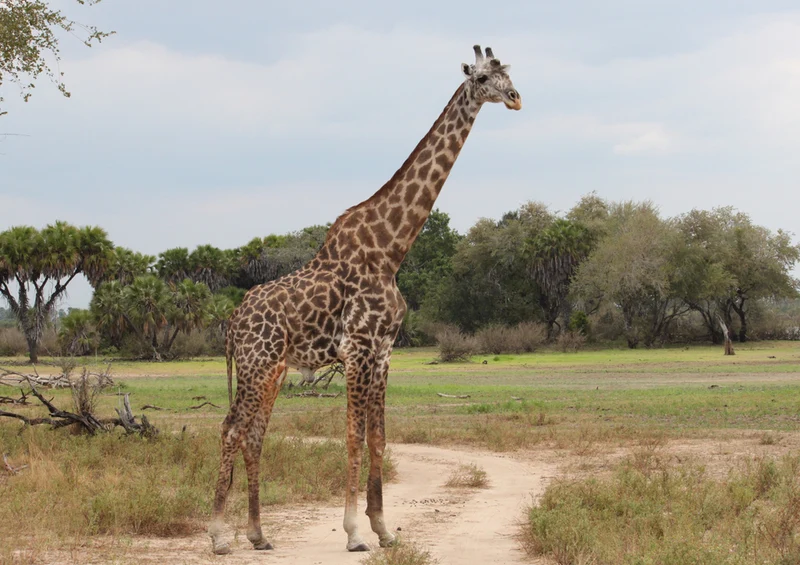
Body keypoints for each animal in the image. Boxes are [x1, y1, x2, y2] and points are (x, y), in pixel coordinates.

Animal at [208, 44, 522, 555]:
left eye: (508, 72)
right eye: (480, 77)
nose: (515, 98)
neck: (390, 250)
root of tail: (233, 321)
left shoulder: (384, 351)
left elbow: (379, 438)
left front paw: (384, 529)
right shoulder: (356, 348)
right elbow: (353, 437)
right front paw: (355, 533)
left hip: (272, 371)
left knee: (253, 434)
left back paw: (258, 535)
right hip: (257, 364)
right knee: (231, 428)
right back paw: (218, 536)